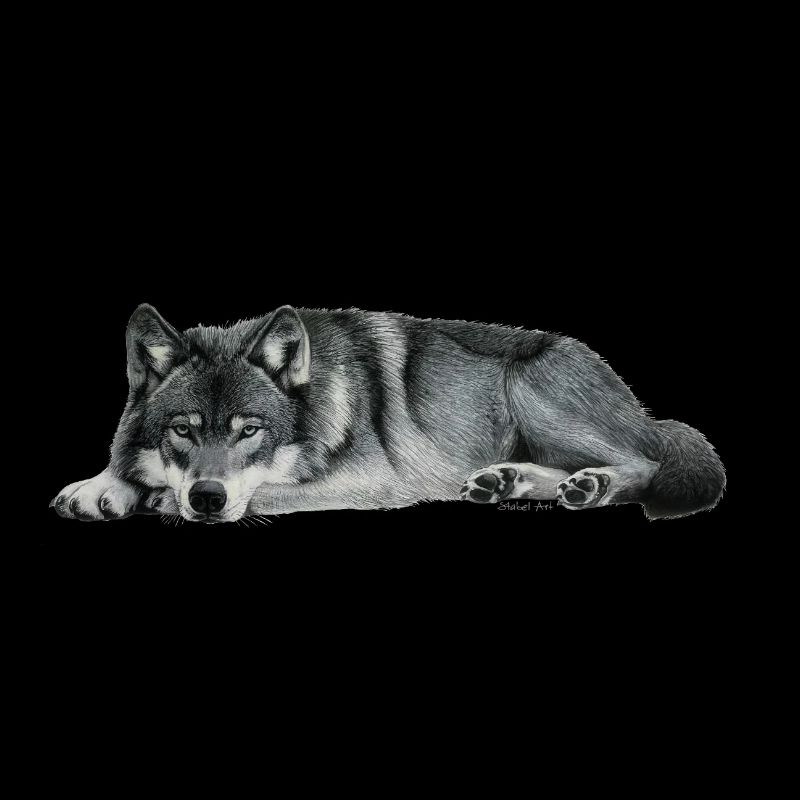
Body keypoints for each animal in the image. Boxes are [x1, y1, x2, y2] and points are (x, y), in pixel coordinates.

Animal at [51, 304, 725, 523]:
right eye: (183, 430)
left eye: (250, 431)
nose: (208, 498)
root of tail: (644, 409)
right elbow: (126, 467)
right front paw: (100, 487)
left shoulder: (373, 481)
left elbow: (263, 490)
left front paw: (157, 498)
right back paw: (507, 481)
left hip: (534, 390)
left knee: (644, 464)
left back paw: (591, 485)